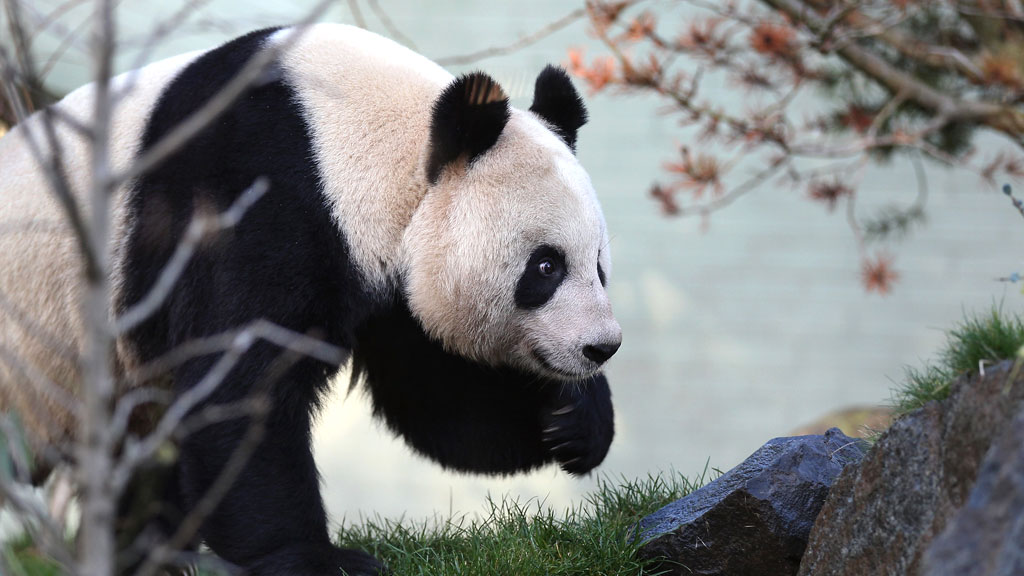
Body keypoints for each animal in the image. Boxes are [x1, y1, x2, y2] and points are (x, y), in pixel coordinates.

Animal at [0, 21, 618, 569]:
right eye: (545, 267)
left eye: (599, 265)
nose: (601, 347)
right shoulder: (252, 198)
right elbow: (239, 389)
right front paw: (314, 558)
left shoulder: (387, 287)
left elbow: (437, 402)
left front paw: (571, 419)